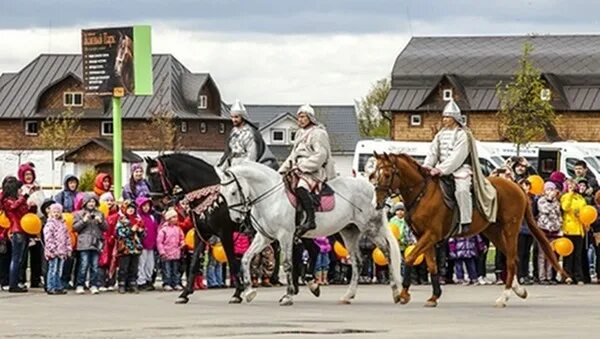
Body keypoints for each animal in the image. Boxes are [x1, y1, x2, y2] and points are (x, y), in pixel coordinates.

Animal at [218, 161, 400, 306]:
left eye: (233, 192)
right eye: (222, 194)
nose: (236, 218)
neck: (272, 198)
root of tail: (372, 187)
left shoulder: (285, 236)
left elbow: (287, 264)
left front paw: (287, 296)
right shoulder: (264, 237)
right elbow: (246, 258)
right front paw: (249, 292)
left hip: (371, 229)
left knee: (387, 253)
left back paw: (396, 293)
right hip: (349, 232)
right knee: (357, 262)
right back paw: (348, 296)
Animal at [368, 154, 568, 308]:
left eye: (387, 174)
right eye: (373, 174)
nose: (376, 202)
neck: (423, 193)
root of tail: (517, 187)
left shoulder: (431, 235)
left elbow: (410, 257)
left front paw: (403, 294)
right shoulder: (423, 237)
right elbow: (432, 265)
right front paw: (434, 296)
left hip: (510, 229)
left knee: (511, 260)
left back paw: (504, 297)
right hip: (493, 232)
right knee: (513, 258)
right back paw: (519, 290)